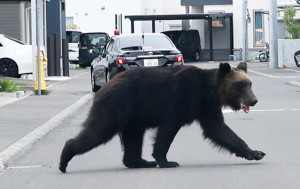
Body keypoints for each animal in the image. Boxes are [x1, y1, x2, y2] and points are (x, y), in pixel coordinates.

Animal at [58, 62, 264, 173]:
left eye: (250, 83)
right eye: (240, 85)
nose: (254, 100)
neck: (208, 90)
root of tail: (104, 87)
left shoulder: (206, 107)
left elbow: (219, 130)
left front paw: (255, 152)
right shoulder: (181, 99)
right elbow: (167, 131)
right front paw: (166, 161)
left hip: (134, 118)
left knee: (133, 138)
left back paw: (140, 162)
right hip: (117, 106)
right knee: (98, 130)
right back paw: (64, 159)